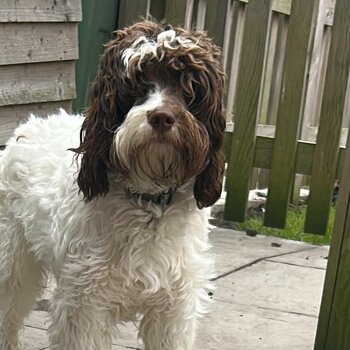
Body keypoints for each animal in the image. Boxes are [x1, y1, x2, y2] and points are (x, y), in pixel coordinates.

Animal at [0, 20, 226, 348]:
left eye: (189, 88)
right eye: (136, 85)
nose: (162, 117)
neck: (147, 202)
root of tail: (27, 126)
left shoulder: (173, 308)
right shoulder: (84, 306)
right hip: (13, 262)